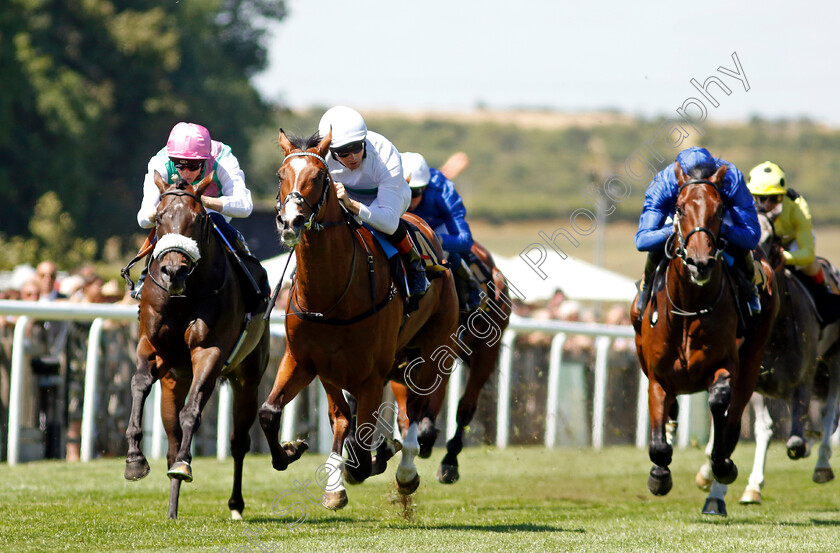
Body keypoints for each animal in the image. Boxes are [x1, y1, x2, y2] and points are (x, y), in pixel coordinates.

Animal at [123, 171, 270, 516]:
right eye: (159, 217)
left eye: (200, 218)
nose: (173, 271)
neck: (184, 297)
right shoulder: (152, 347)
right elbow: (139, 383)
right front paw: (134, 458)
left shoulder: (209, 352)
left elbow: (193, 410)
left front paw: (184, 466)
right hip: (174, 382)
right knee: (173, 438)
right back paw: (172, 507)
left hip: (248, 378)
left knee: (239, 442)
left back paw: (235, 504)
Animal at [260, 129, 460, 508]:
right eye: (280, 176)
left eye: (319, 177)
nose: (290, 222)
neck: (331, 295)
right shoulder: (307, 361)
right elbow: (272, 412)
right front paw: (294, 452)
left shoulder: (370, 374)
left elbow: (364, 446)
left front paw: (370, 460)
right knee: (355, 418)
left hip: (428, 353)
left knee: (413, 413)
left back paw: (405, 470)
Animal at [388, 242, 512, 484]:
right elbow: (404, 412)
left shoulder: (441, 353)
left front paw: (425, 436)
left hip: (487, 349)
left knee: (466, 407)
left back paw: (449, 461)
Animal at [632, 162, 780, 516]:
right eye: (679, 208)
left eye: (720, 209)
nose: (700, 262)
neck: (689, 307)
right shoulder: (657, 375)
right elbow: (658, 440)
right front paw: (659, 475)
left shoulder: (726, 364)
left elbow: (720, 403)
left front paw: (721, 465)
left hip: (753, 360)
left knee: (734, 416)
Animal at [700, 212, 840, 504]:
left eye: (770, 239)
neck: (776, 329)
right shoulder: (753, 379)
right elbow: (753, 428)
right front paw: (718, 481)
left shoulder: (804, 376)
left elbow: (796, 441)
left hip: (834, 361)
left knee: (829, 412)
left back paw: (822, 462)